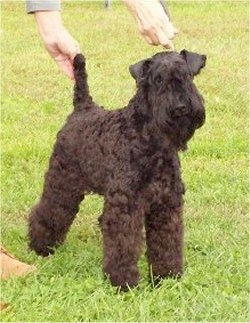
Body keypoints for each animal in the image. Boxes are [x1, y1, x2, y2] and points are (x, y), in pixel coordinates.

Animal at [28, 50, 206, 292]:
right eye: (157, 80)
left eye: (187, 75)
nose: (180, 107)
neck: (149, 138)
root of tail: (82, 108)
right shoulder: (126, 205)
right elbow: (124, 244)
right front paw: (123, 283)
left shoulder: (167, 205)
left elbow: (167, 242)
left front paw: (167, 277)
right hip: (62, 182)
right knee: (48, 211)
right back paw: (40, 247)